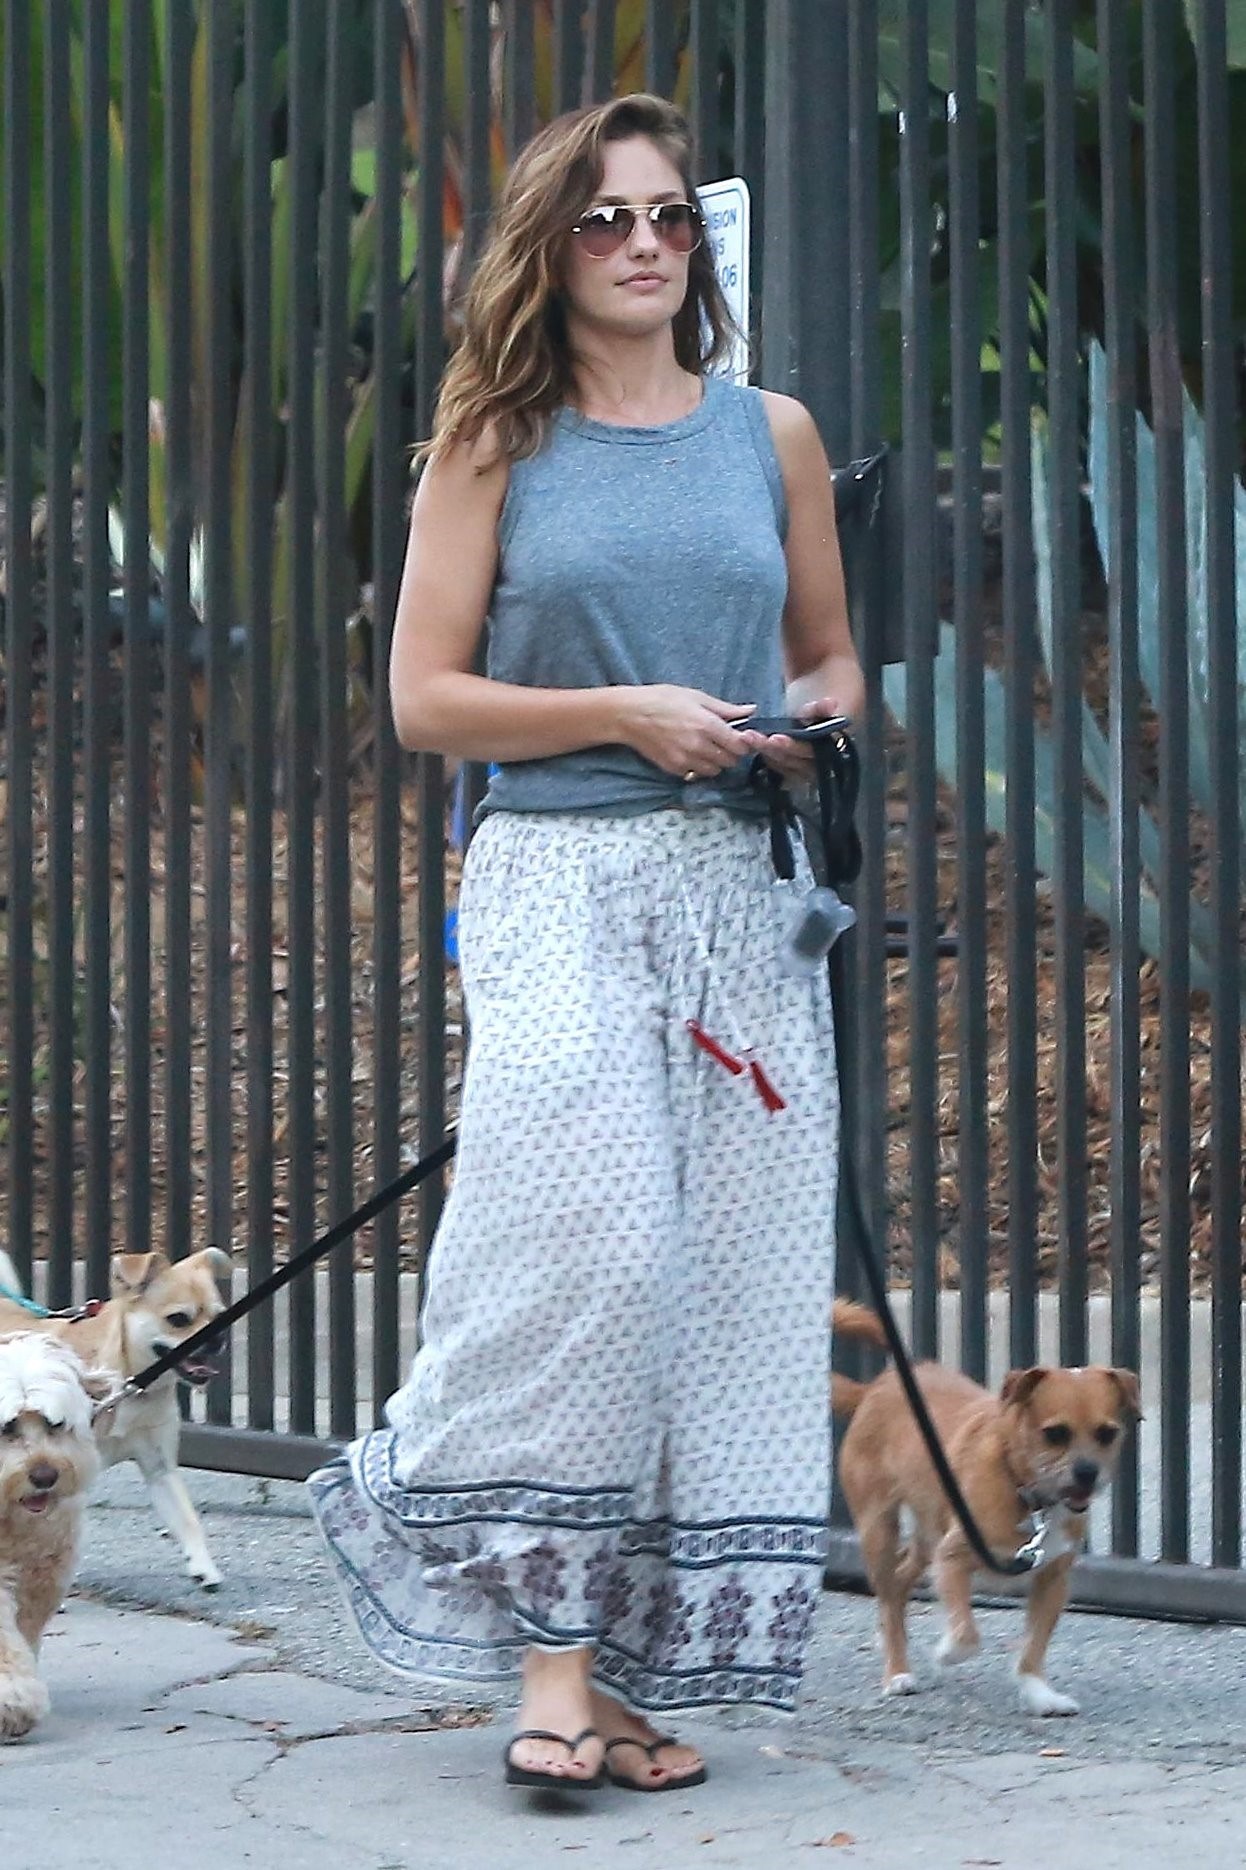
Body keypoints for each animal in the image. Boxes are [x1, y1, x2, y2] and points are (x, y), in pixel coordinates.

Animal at [0, 1249, 230, 1589]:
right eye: (178, 1319)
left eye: (220, 1315)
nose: (218, 1338)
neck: (131, 1385)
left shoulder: (160, 1469)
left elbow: (187, 1518)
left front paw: (203, 1565)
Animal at [832, 1301, 1140, 1716]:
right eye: (1055, 1434)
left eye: (1107, 1433)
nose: (1087, 1473)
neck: (1027, 1493)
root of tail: (873, 1390)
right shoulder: (953, 1559)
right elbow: (967, 1633)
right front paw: (948, 1652)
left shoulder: (1052, 1579)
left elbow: (1034, 1647)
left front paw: (1038, 1692)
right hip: (879, 1529)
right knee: (889, 1596)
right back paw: (896, 1671)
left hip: (928, 1535)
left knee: (898, 1583)